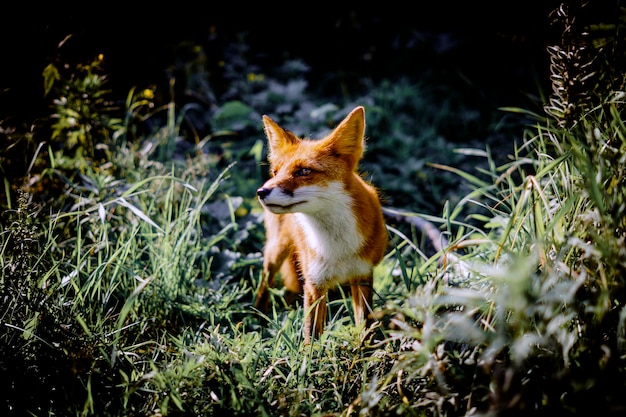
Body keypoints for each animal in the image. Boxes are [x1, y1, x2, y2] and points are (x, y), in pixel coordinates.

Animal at [254, 105, 386, 342]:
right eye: (276, 172)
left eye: (304, 171)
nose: (262, 191)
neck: (337, 247)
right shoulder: (314, 283)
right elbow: (311, 336)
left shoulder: (362, 276)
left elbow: (364, 326)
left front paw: (365, 348)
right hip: (276, 251)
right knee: (265, 283)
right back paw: (258, 316)